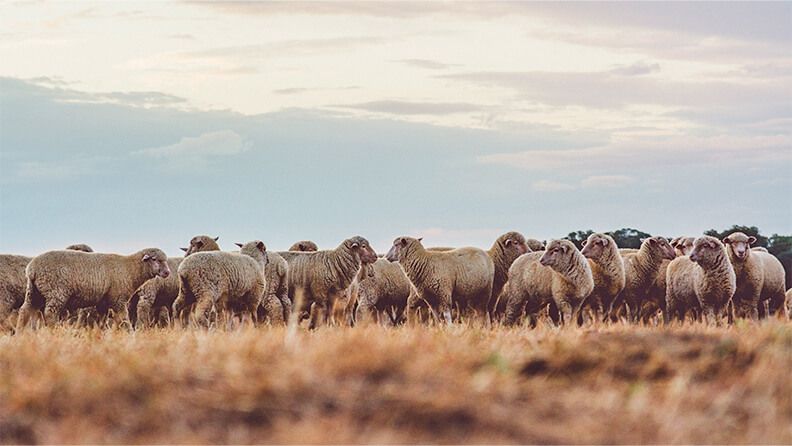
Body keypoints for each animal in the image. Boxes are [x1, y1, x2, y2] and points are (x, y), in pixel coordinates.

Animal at [16, 246, 170, 330]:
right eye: (155, 259)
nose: (167, 272)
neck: (130, 269)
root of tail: (32, 269)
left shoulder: (104, 302)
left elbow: (103, 320)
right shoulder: (118, 300)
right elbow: (123, 318)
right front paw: (129, 333)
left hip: (33, 292)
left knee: (25, 311)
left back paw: (20, 333)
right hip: (56, 292)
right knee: (49, 313)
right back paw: (54, 330)